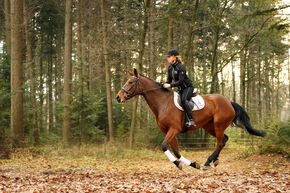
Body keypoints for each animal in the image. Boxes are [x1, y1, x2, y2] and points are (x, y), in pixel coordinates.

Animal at [115, 69, 268, 170]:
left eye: (130, 82)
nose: (118, 97)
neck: (163, 103)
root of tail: (229, 102)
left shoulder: (174, 129)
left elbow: (164, 146)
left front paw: (179, 164)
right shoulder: (169, 131)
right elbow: (176, 151)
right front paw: (192, 164)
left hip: (218, 125)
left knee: (220, 142)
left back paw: (208, 162)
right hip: (209, 126)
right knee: (224, 139)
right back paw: (214, 160)